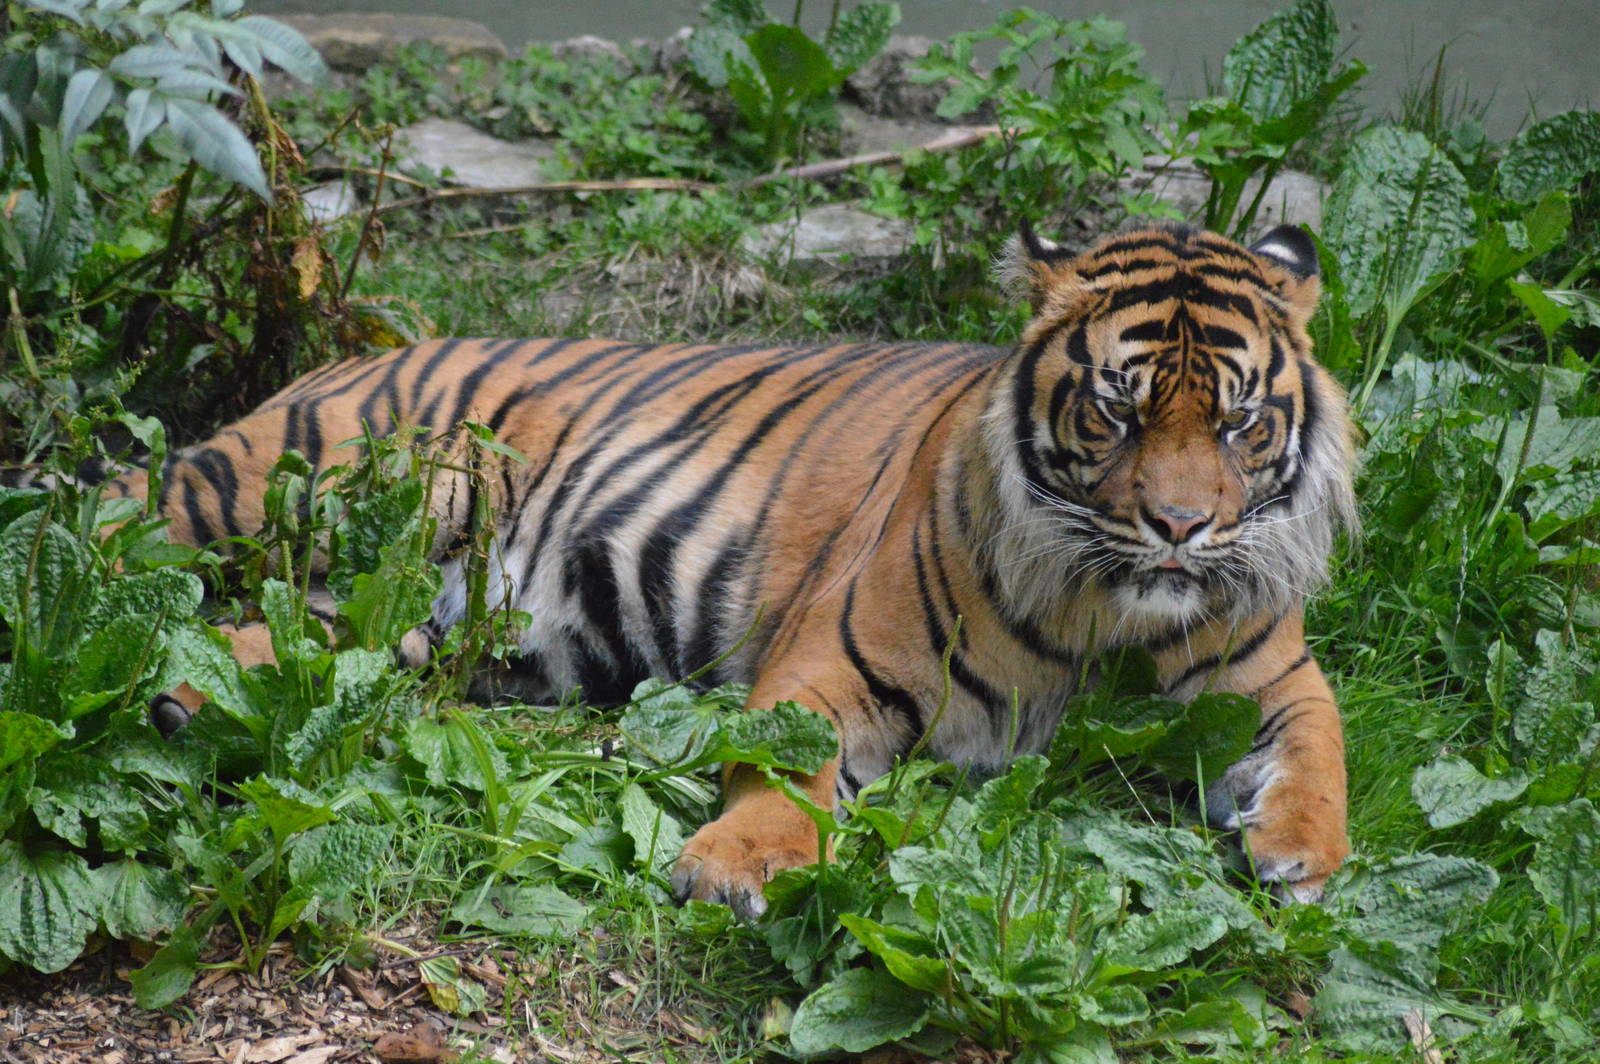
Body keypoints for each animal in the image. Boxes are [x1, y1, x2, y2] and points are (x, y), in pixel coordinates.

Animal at [69, 222, 1358, 914]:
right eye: (1115, 410)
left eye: (1240, 422)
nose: (1180, 527)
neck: (1108, 614)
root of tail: (357, 351)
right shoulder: (836, 661)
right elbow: (784, 762)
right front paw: (736, 867)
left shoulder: (1267, 673)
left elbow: (1323, 746)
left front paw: (1298, 852)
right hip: (306, 484)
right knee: (112, 520)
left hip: (434, 624)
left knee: (291, 642)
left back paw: (183, 699)